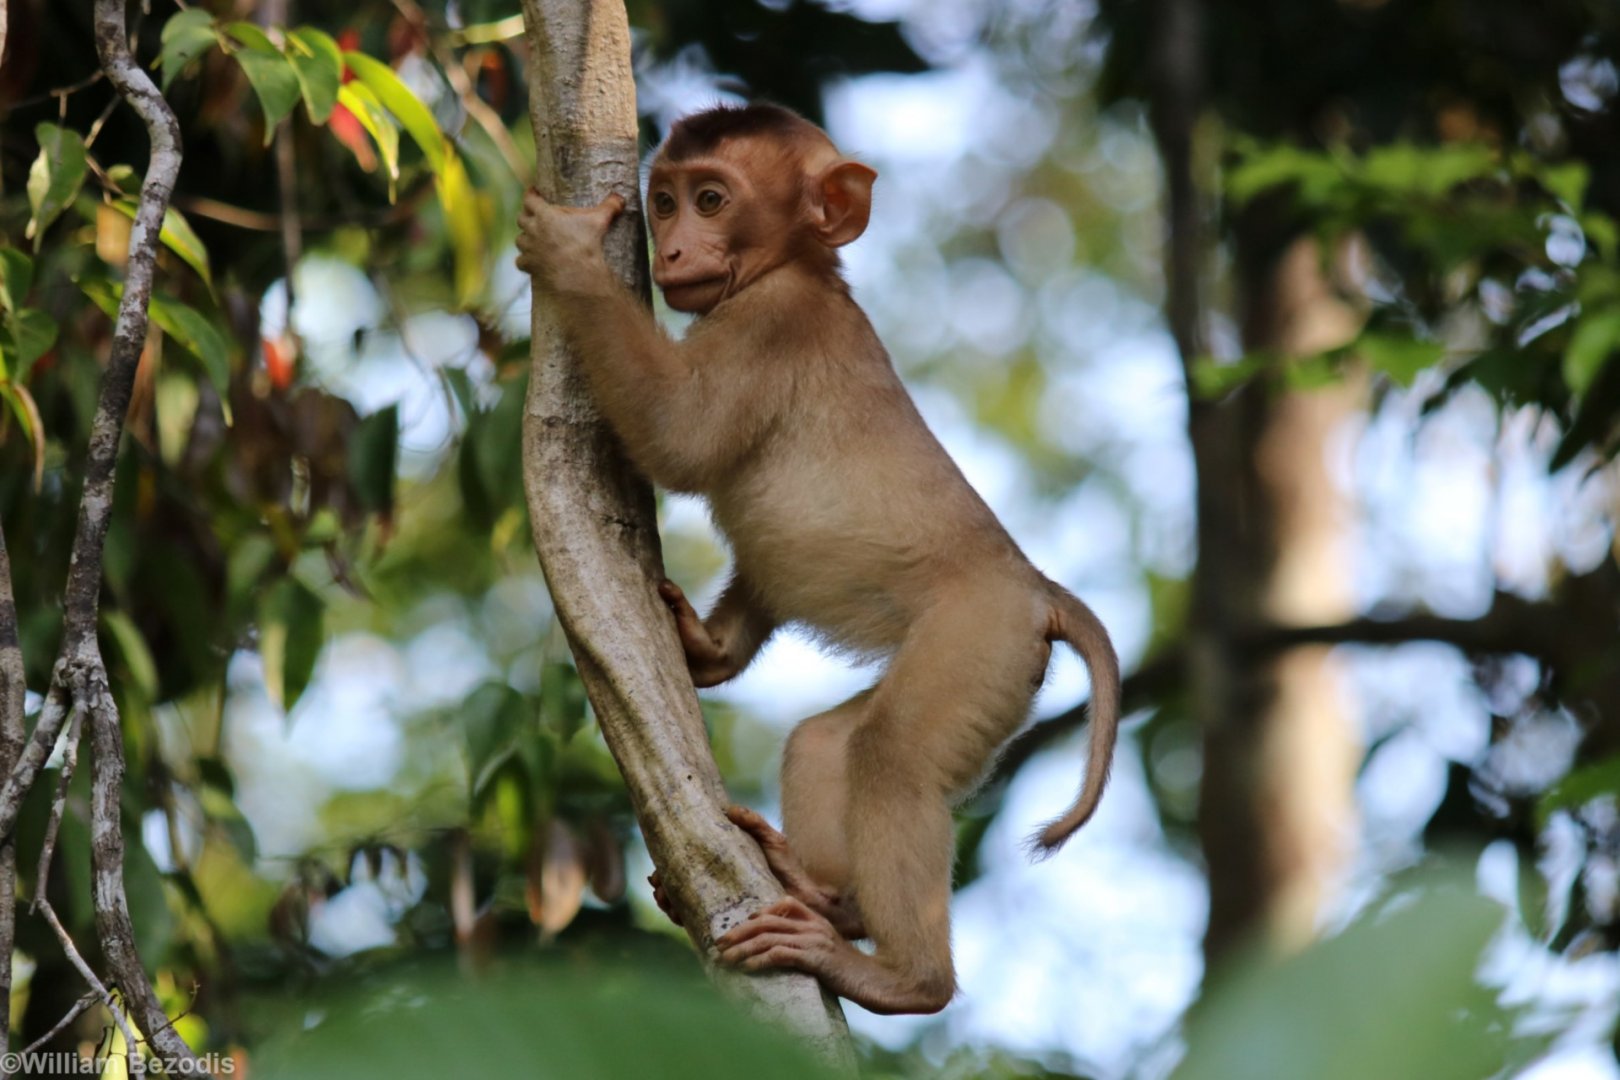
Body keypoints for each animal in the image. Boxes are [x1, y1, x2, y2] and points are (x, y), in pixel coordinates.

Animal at [516, 103, 1119, 1016]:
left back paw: (902, 978)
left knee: (892, 757)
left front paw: (569, 257)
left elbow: (677, 439)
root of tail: (1037, 587)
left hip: (979, 639)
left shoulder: (772, 322)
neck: (797, 271)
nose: (672, 251)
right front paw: (702, 647)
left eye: (712, 199)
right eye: (664, 201)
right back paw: (824, 896)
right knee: (827, 742)